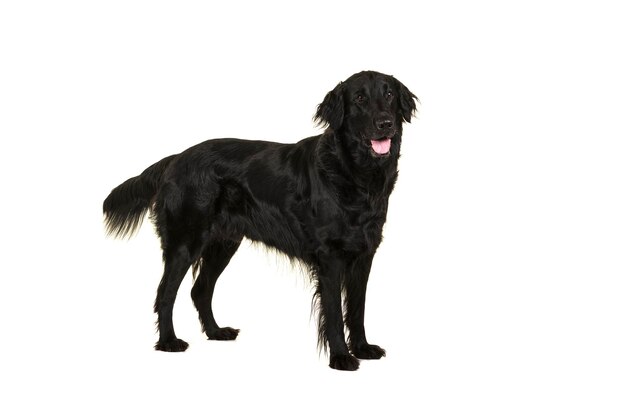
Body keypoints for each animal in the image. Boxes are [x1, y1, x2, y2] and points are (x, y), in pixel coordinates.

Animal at [102, 70, 416, 368]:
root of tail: (176, 158)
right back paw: (169, 341)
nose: (385, 123)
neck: (354, 173)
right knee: (165, 294)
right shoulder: (330, 257)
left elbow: (357, 309)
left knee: (200, 290)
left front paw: (362, 348)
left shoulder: (364, 255)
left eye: (389, 95)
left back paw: (216, 332)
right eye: (360, 98)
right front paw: (341, 357)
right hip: (185, 242)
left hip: (223, 243)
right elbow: (335, 314)